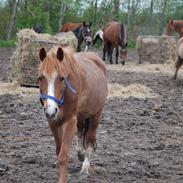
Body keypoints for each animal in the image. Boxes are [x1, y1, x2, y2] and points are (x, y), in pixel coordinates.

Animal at [38, 46, 108, 182]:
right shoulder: (53, 122)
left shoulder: (70, 121)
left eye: (61, 78)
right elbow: (59, 150)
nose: (50, 110)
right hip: (81, 116)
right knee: (81, 133)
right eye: (41, 78)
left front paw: (62, 179)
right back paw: (80, 154)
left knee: (90, 139)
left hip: (96, 114)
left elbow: (63, 155)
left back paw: (85, 166)